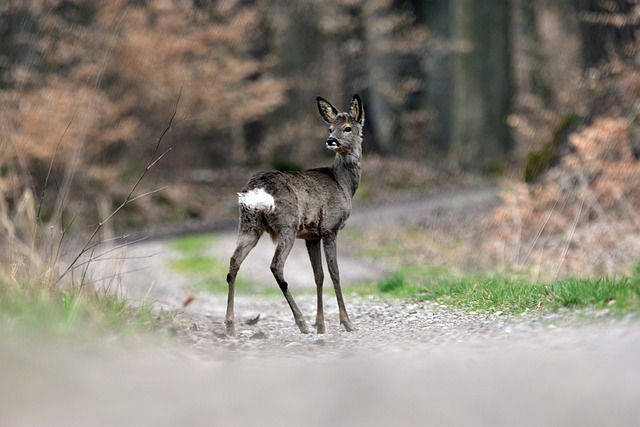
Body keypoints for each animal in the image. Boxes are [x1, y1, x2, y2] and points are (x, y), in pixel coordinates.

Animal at [225, 95, 364, 336]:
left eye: (347, 127)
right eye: (330, 128)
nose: (331, 140)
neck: (344, 184)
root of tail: (257, 190)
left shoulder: (311, 235)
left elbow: (318, 275)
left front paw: (321, 324)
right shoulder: (330, 227)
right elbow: (335, 273)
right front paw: (346, 322)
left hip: (248, 224)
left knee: (234, 262)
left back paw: (230, 325)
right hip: (287, 225)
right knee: (276, 266)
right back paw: (301, 323)